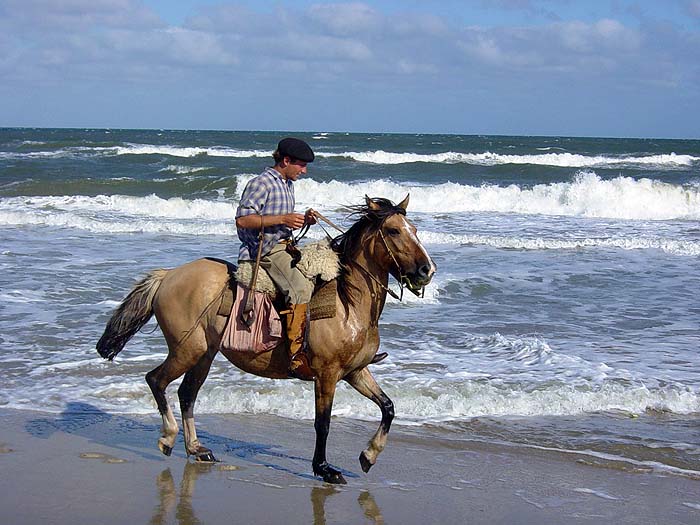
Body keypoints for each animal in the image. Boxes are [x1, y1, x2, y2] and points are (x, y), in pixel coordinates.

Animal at [95, 195, 434, 484]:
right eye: (393, 230)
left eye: (414, 229)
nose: (426, 270)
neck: (347, 302)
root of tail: (169, 275)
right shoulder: (327, 374)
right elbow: (322, 423)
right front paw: (324, 469)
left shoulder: (355, 372)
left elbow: (388, 407)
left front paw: (368, 456)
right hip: (187, 349)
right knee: (157, 380)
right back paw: (168, 437)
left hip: (205, 354)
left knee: (186, 394)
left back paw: (197, 449)